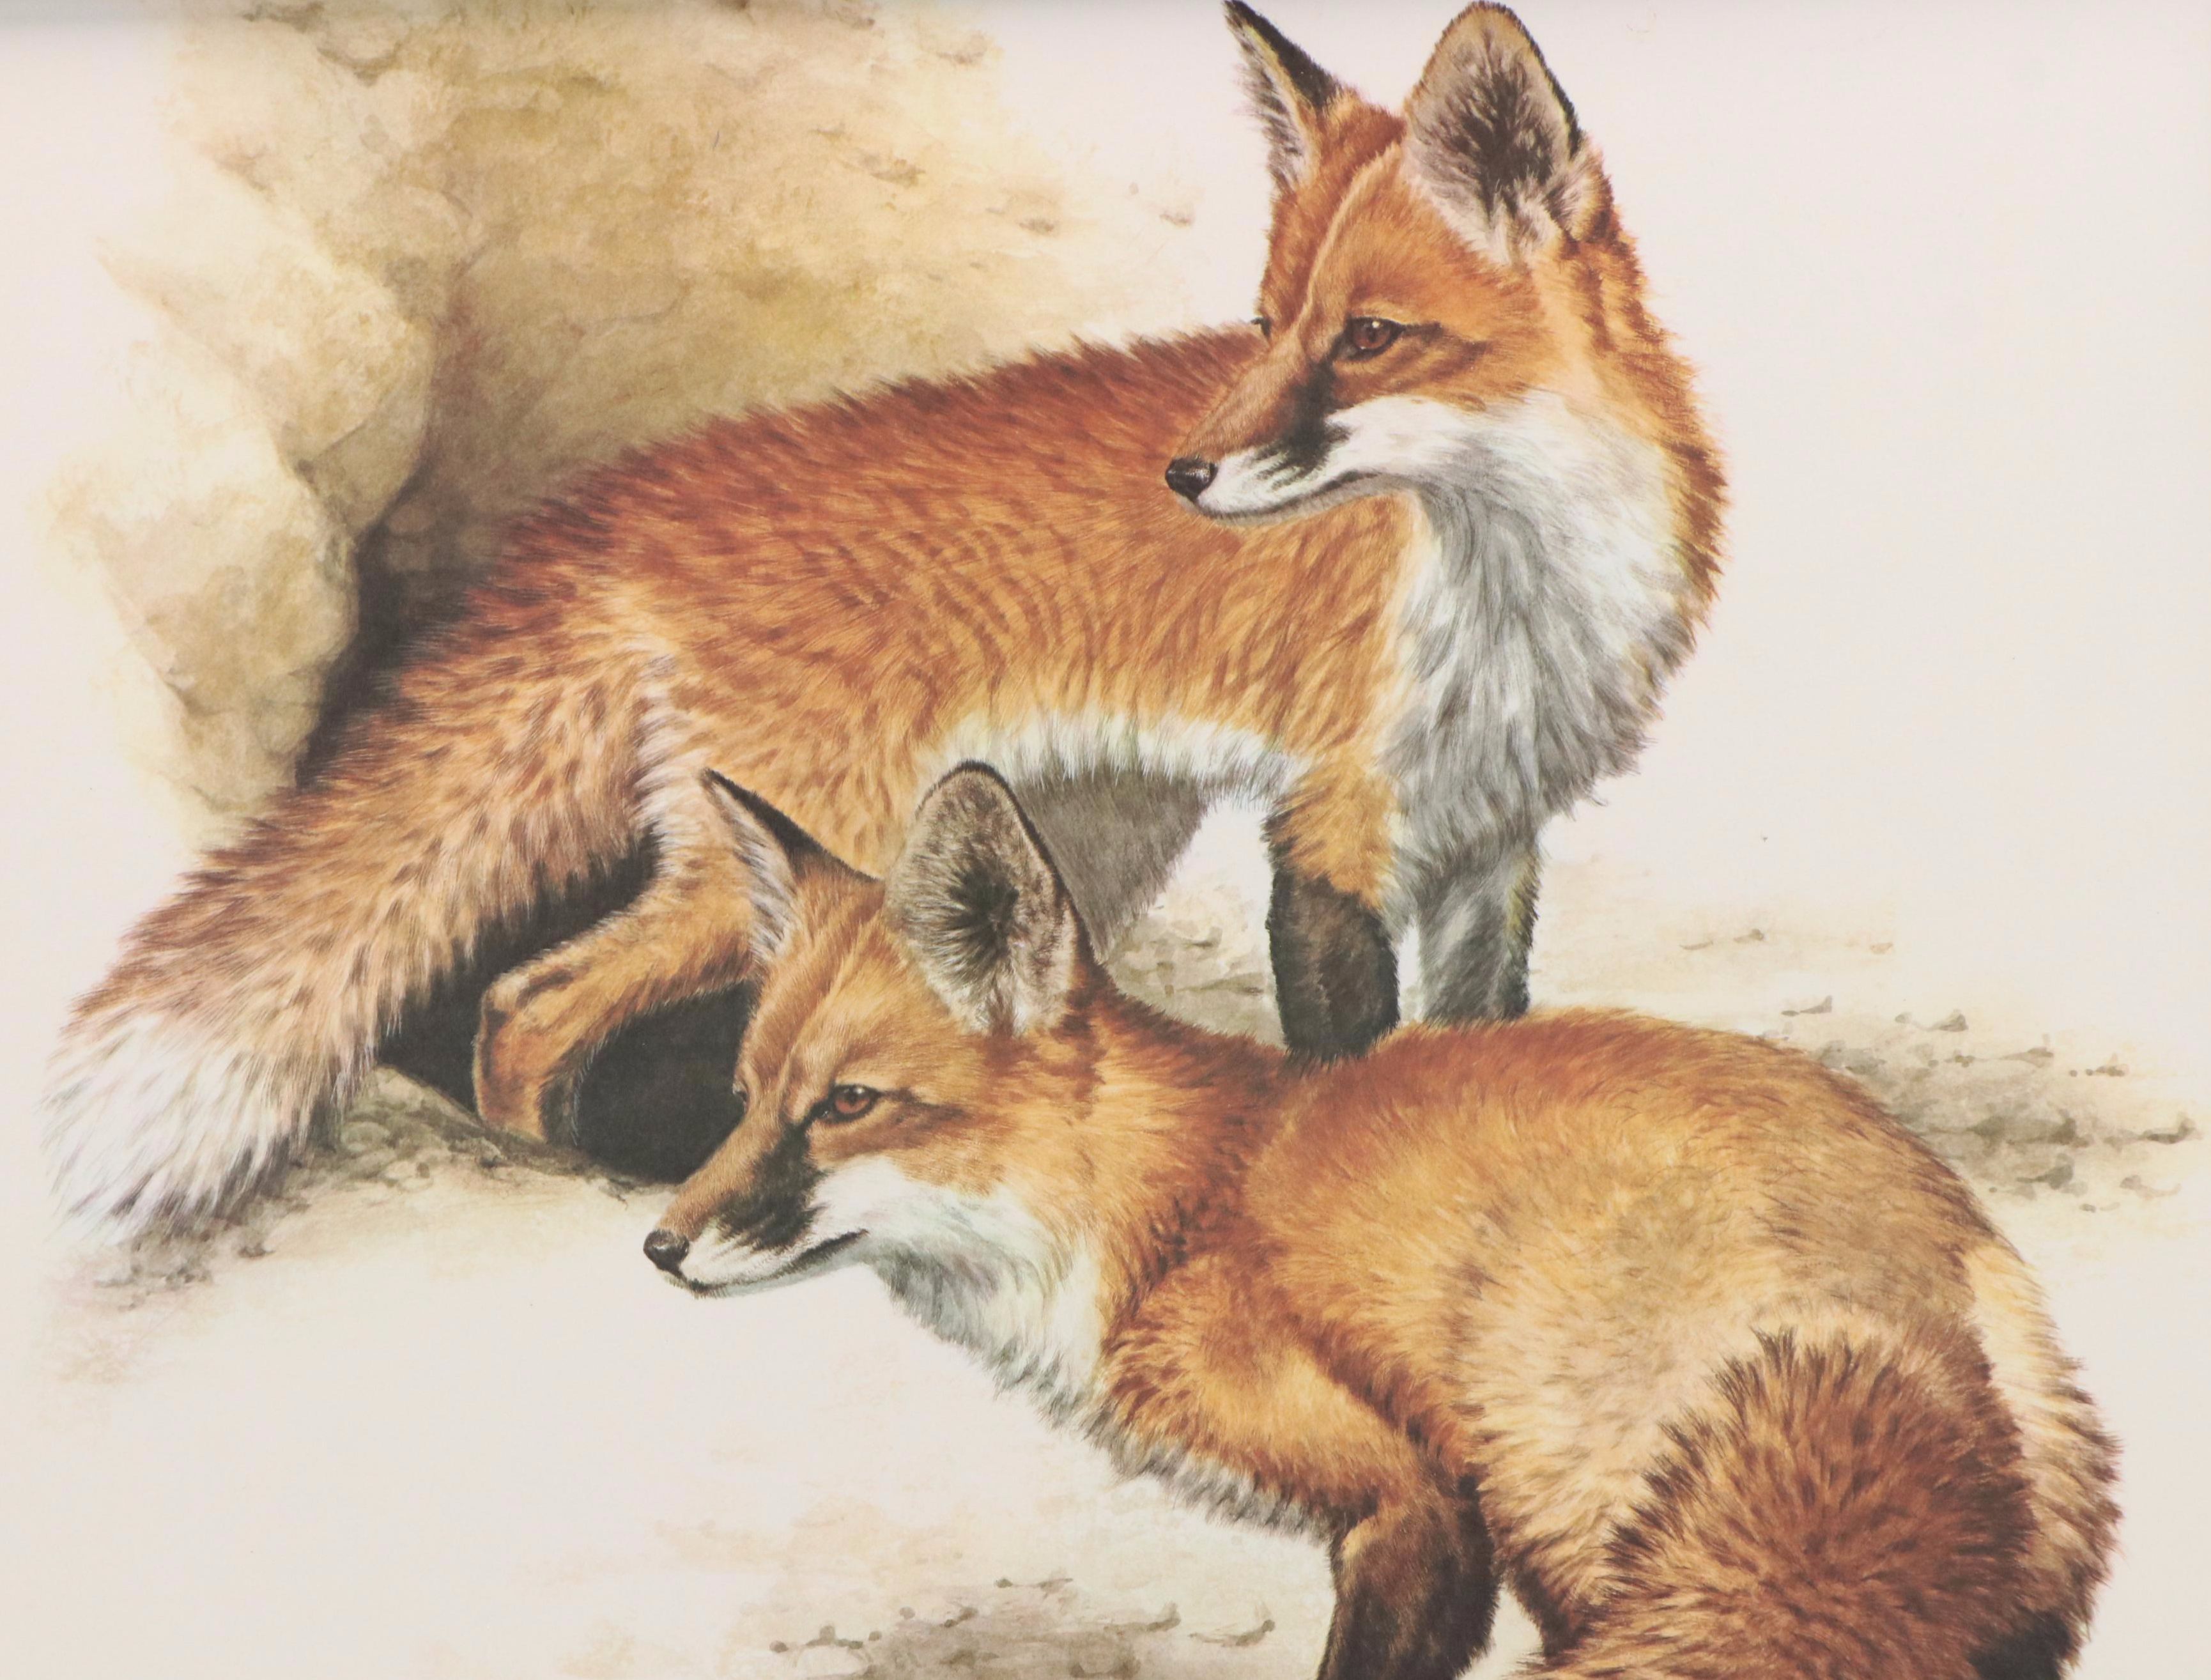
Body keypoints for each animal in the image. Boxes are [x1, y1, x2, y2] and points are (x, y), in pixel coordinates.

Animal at [46, 3, 1723, 1236]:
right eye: (1263, 328)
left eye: (1367, 338)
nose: (1185, 474)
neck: (1515, 586)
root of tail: (627, 497)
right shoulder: (1331, 825)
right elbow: (1347, 1056)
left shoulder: (1489, 831)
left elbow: (1480, 1035)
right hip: (790, 840)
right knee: (523, 1005)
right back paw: (600, 1170)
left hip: (1057, 833)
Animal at [645, 762, 2117, 1680]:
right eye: (742, 1100)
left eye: (848, 1105)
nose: (660, 1246)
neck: (1170, 1215)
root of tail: (1939, 1275)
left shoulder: (1416, 1499)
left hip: (1562, 1496)